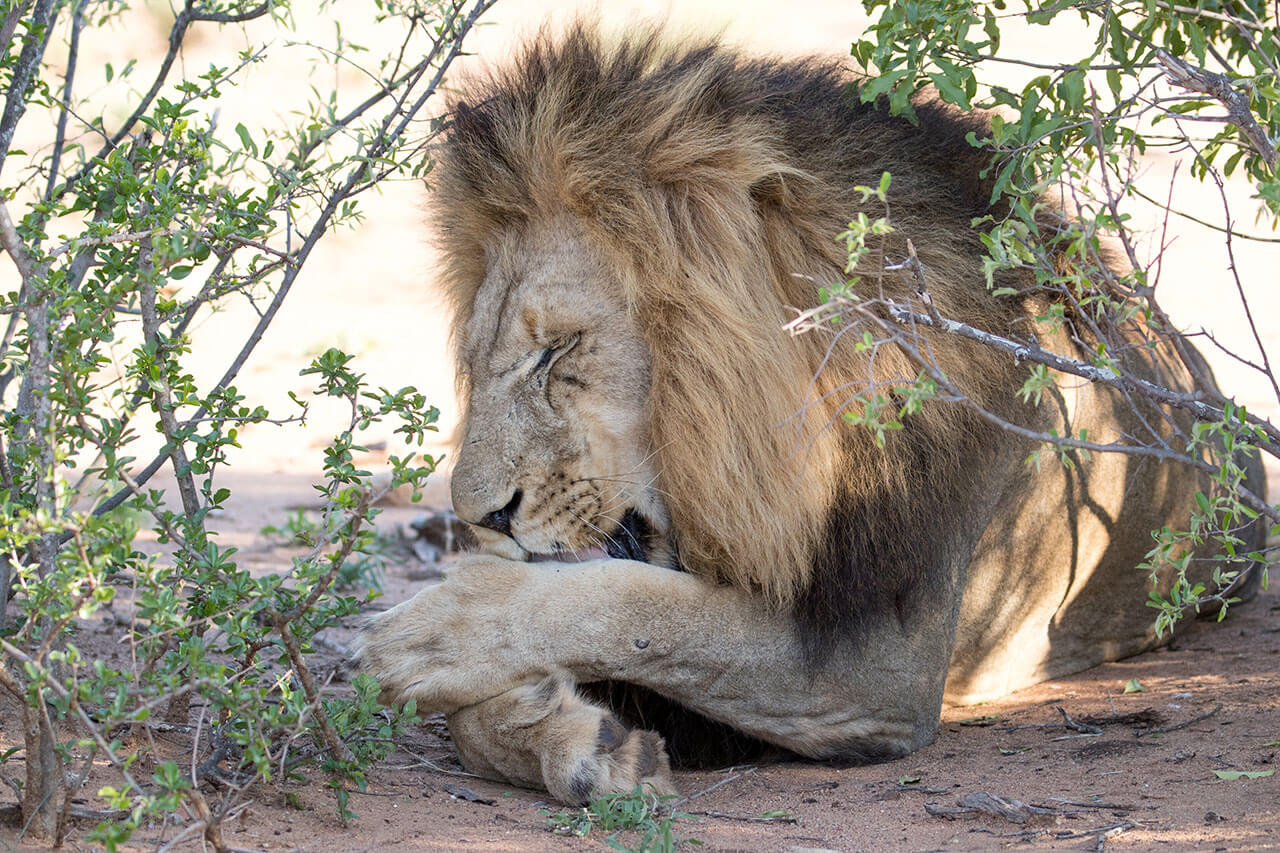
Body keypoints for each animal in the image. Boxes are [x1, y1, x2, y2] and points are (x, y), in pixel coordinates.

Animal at [357, 26, 1268, 804]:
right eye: (481, 364)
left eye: (557, 351)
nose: (477, 516)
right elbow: (486, 709)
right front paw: (574, 736)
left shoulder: (876, 665)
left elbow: (652, 611)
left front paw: (437, 632)